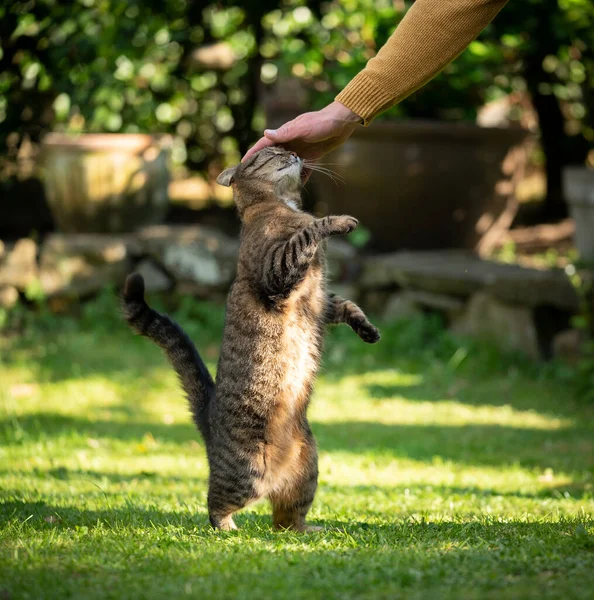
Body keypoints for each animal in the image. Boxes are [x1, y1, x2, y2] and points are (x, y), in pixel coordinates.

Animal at [121, 148, 380, 532]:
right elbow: (310, 231)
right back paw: (228, 527)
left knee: (285, 519)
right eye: (273, 152)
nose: (295, 151)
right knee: (214, 504)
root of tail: (208, 417)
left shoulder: (320, 300)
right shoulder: (278, 271)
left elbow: (346, 305)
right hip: (247, 473)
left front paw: (367, 329)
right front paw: (338, 221)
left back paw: (307, 529)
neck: (280, 204)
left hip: (308, 469)